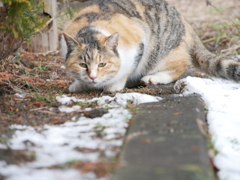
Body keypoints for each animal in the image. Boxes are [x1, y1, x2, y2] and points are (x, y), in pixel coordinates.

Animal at [61, 0, 240, 93]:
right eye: (82, 65)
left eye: (102, 64)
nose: (92, 76)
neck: (91, 30)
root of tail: (184, 21)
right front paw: (79, 84)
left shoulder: (140, 41)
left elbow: (126, 70)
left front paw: (114, 85)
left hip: (162, 52)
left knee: (182, 64)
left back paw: (153, 78)